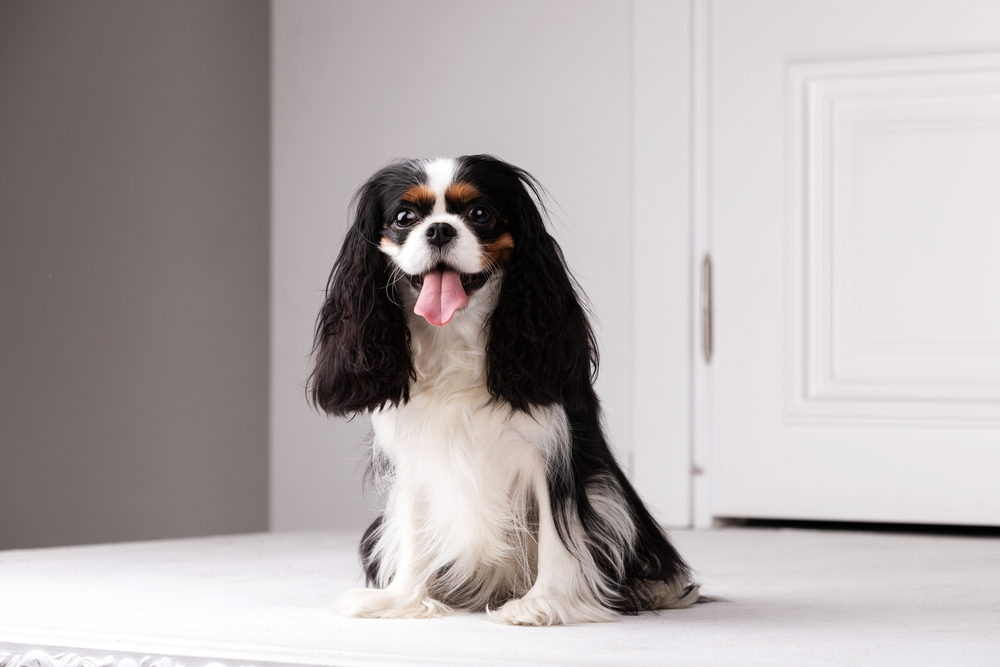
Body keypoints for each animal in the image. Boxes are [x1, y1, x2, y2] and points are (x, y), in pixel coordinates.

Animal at [308, 157, 700, 628]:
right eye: (404, 218)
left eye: (480, 214)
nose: (440, 230)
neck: (455, 337)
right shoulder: (416, 455)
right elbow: (415, 529)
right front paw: (403, 601)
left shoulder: (551, 455)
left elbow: (557, 534)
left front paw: (541, 604)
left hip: (611, 500)